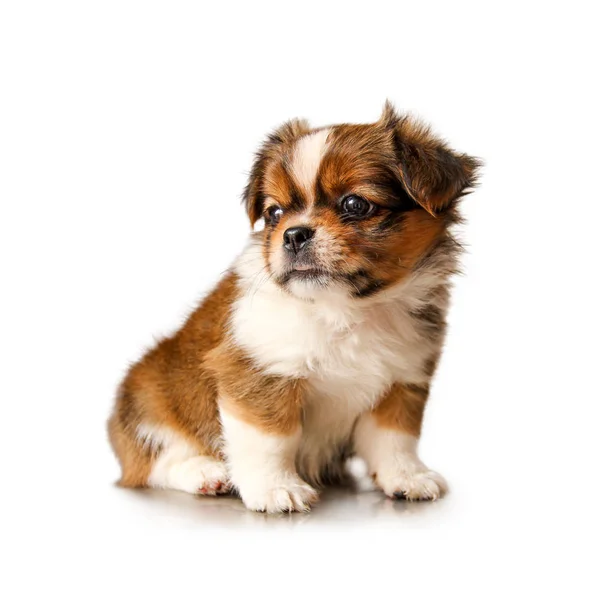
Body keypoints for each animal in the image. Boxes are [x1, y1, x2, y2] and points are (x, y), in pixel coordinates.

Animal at [108, 102, 480, 510]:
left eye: (355, 204)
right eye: (274, 213)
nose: (293, 234)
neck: (347, 310)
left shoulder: (402, 381)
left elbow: (394, 438)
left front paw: (406, 476)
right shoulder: (261, 373)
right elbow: (271, 439)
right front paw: (275, 488)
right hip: (148, 400)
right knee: (155, 462)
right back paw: (207, 473)